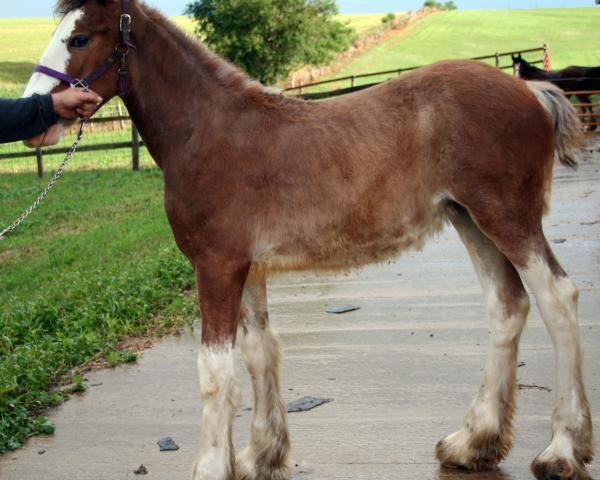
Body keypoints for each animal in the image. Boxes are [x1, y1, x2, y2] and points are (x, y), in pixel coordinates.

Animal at [25, 0, 592, 480]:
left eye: (78, 37)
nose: (37, 115)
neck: (208, 133)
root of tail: (532, 92)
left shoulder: (216, 266)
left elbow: (215, 371)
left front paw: (211, 467)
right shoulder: (246, 267)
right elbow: (259, 352)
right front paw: (261, 456)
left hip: (507, 218)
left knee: (557, 299)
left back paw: (562, 451)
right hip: (469, 219)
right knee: (506, 306)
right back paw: (472, 443)